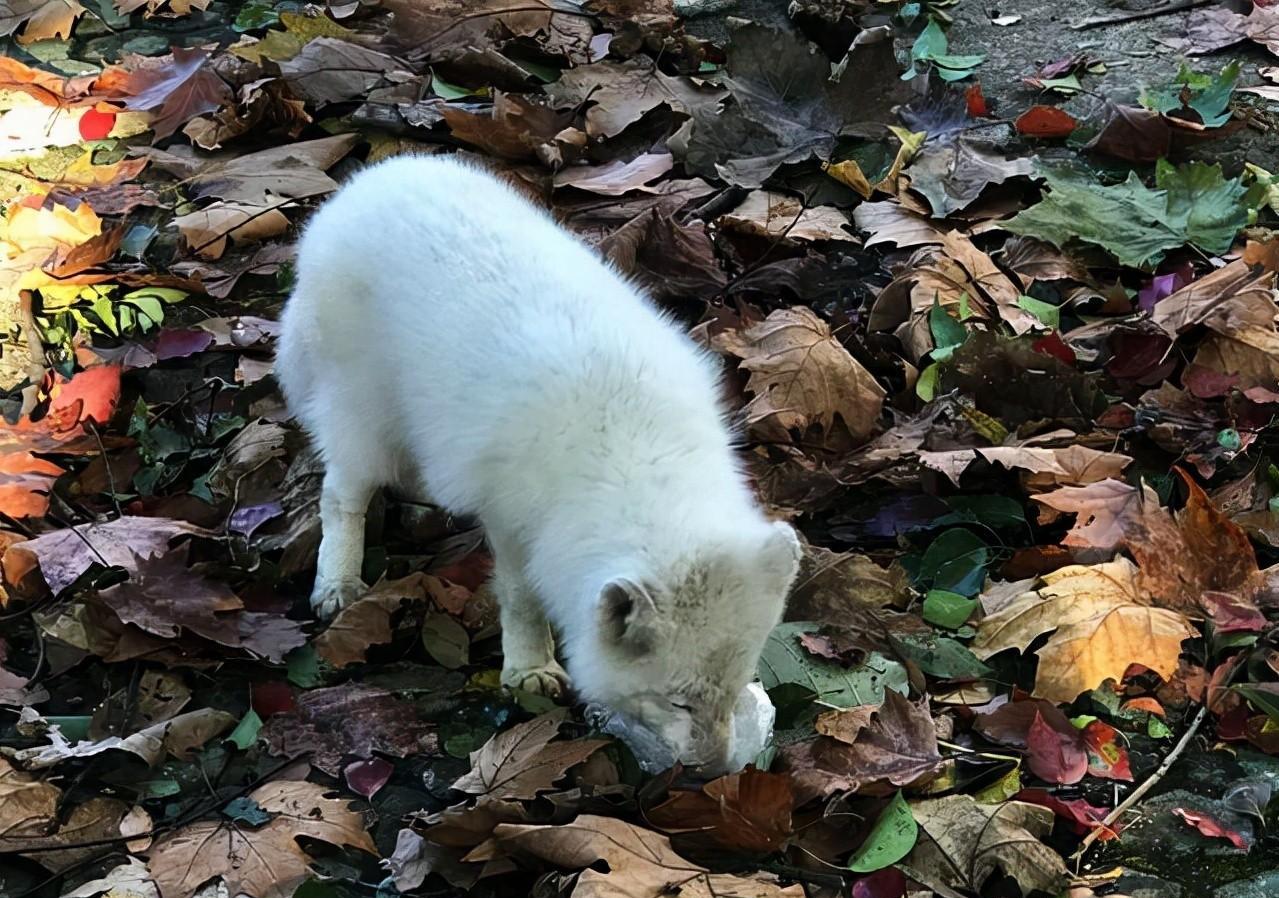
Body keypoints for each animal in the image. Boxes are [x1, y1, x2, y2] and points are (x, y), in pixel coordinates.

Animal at [278, 156, 798, 772]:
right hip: (363, 418)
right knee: (340, 494)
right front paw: (529, 668)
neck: (635, 450)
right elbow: (522, 596)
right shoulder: (513, 517)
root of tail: (354, 191)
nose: (715, 772)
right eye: (677, 702)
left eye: (735, 689)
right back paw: (337, 580)